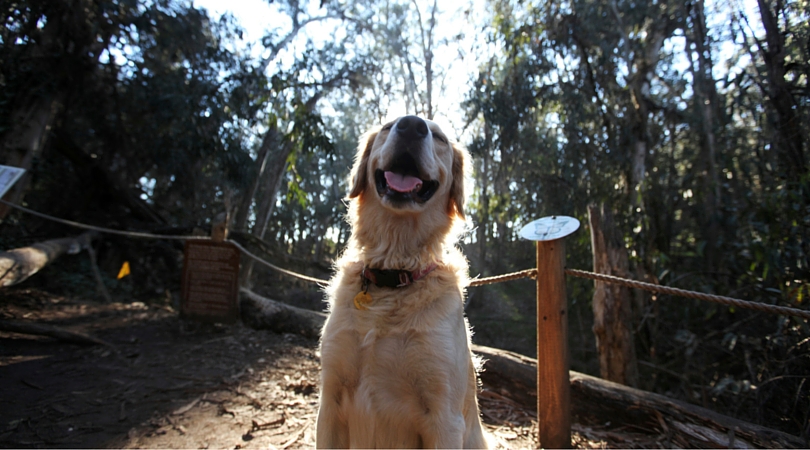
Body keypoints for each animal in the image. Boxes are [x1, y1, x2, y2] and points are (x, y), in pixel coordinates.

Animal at [316, 115, 487, 448]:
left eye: (439, 138)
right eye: (387, 127)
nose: (411, 125)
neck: (394, 272)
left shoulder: (444, 417)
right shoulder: (330, 399)